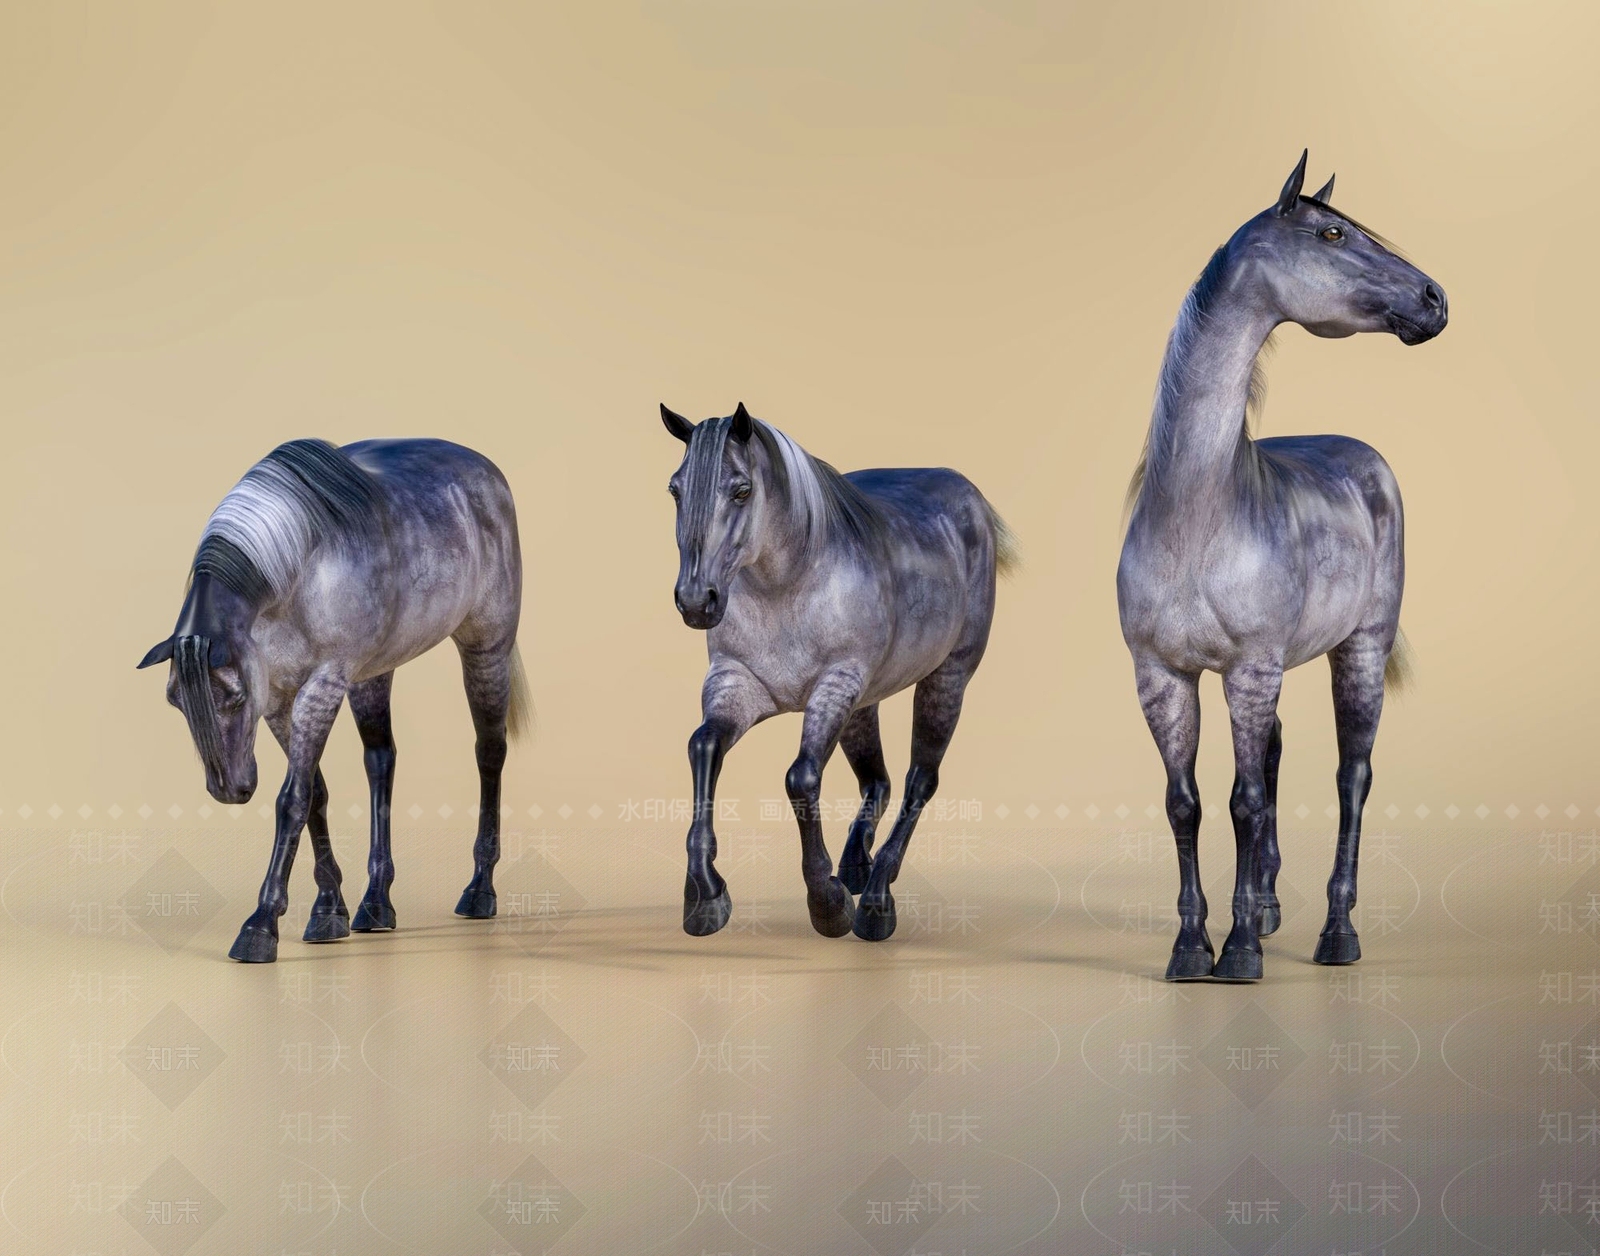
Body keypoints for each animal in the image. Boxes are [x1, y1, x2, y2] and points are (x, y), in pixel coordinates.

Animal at [138, 438, 529, 963]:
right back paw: (376, 903)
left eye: (234, 698)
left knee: (489, 753)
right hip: (373, 674)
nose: (230, 790)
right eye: (174, 701)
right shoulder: (280, 702)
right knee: (381, 761)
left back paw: (479, 890)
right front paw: (329, 910)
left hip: (487, 649)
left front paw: (261, 925)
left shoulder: (320, 687)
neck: (297, 569)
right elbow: (316, 794)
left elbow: (292, 800)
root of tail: (486, 470)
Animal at [659, 402, 1015, 942]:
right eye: (675, 489)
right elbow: (703, 747)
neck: (786, 587)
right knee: (878, 782)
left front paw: (826, 903)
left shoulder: (834, 686)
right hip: (864, 702)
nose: (697, 602)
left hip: (945, 681)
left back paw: (876, 901)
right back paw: (855, 867)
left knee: (918, 782)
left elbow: (801, 778)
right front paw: (705, 894)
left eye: (741, 490)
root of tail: (969, 494)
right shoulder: (736, 684)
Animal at [1117, 151, 1448, 982]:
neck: (1195, 518)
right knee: (1273, 756)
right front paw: (1191, 948)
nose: (1435, 299)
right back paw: (1268, 909)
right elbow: (1188, 803)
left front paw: (1236, 953)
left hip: (1359, 650)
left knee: (1351, 778)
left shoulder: (1251, 669)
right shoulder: (1161, 675)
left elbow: (1245, 801)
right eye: (1332, 233)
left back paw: (1337, 933)